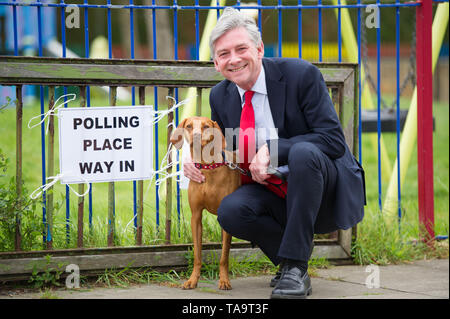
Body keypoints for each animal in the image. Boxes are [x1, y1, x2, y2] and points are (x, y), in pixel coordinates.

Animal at [169, 117, 241, 290]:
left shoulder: (225, 221)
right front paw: (192, 280)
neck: (208, 167)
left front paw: (224, 280)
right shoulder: (196, 216)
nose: (195, 136)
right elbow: (197, 255)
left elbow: (224, 257)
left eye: (206, 126)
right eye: (189, 126)